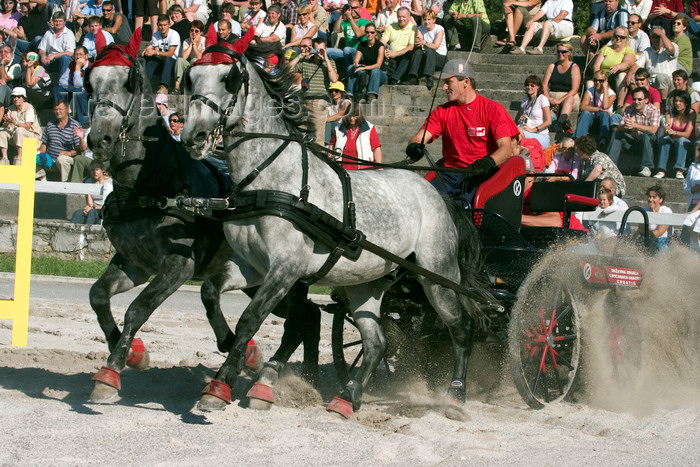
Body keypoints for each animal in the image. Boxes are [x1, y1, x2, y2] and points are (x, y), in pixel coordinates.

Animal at [84, 39, 320, 406]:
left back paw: (273, 379)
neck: (150, 184)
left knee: (302, 319)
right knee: (310, 316)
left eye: (128, 83)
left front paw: (110, 373)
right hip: (258, 278)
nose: (100, 140)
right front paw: (132, 353)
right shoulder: (134, 263)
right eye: (90, 83)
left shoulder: (179, 266)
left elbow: (137, 309)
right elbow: (98, 296)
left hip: (285, 277)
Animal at [178, 42, 490, 418]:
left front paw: (222, 383)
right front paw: (228, 347)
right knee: (376, 342)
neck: (270, 180)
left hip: (437, 275)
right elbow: (210, 292)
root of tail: (438, 195)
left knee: (460, 328)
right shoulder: (252, 266)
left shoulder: (285, 270)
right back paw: (348, 396)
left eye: (228, 78)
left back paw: (455, 395)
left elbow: (250, 319)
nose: (191, 136)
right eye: (191, 76)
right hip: (365, 284)